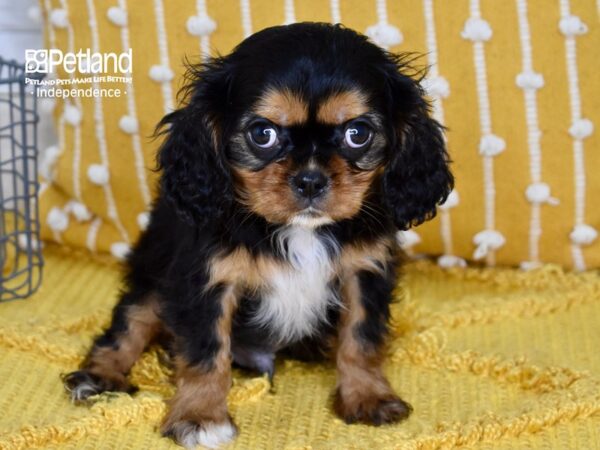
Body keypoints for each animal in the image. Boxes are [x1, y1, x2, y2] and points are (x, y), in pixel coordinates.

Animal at [63, 22, 452, 448]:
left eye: (358, 133)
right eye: (262, 134)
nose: (310, 180)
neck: (300, 231)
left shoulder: (364, 273)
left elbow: (361, 338)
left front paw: (368, 396)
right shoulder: (207, 281)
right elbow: (205, 352)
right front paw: (200, 416)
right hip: (153, 276)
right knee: (127, 325)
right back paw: (99, 376)